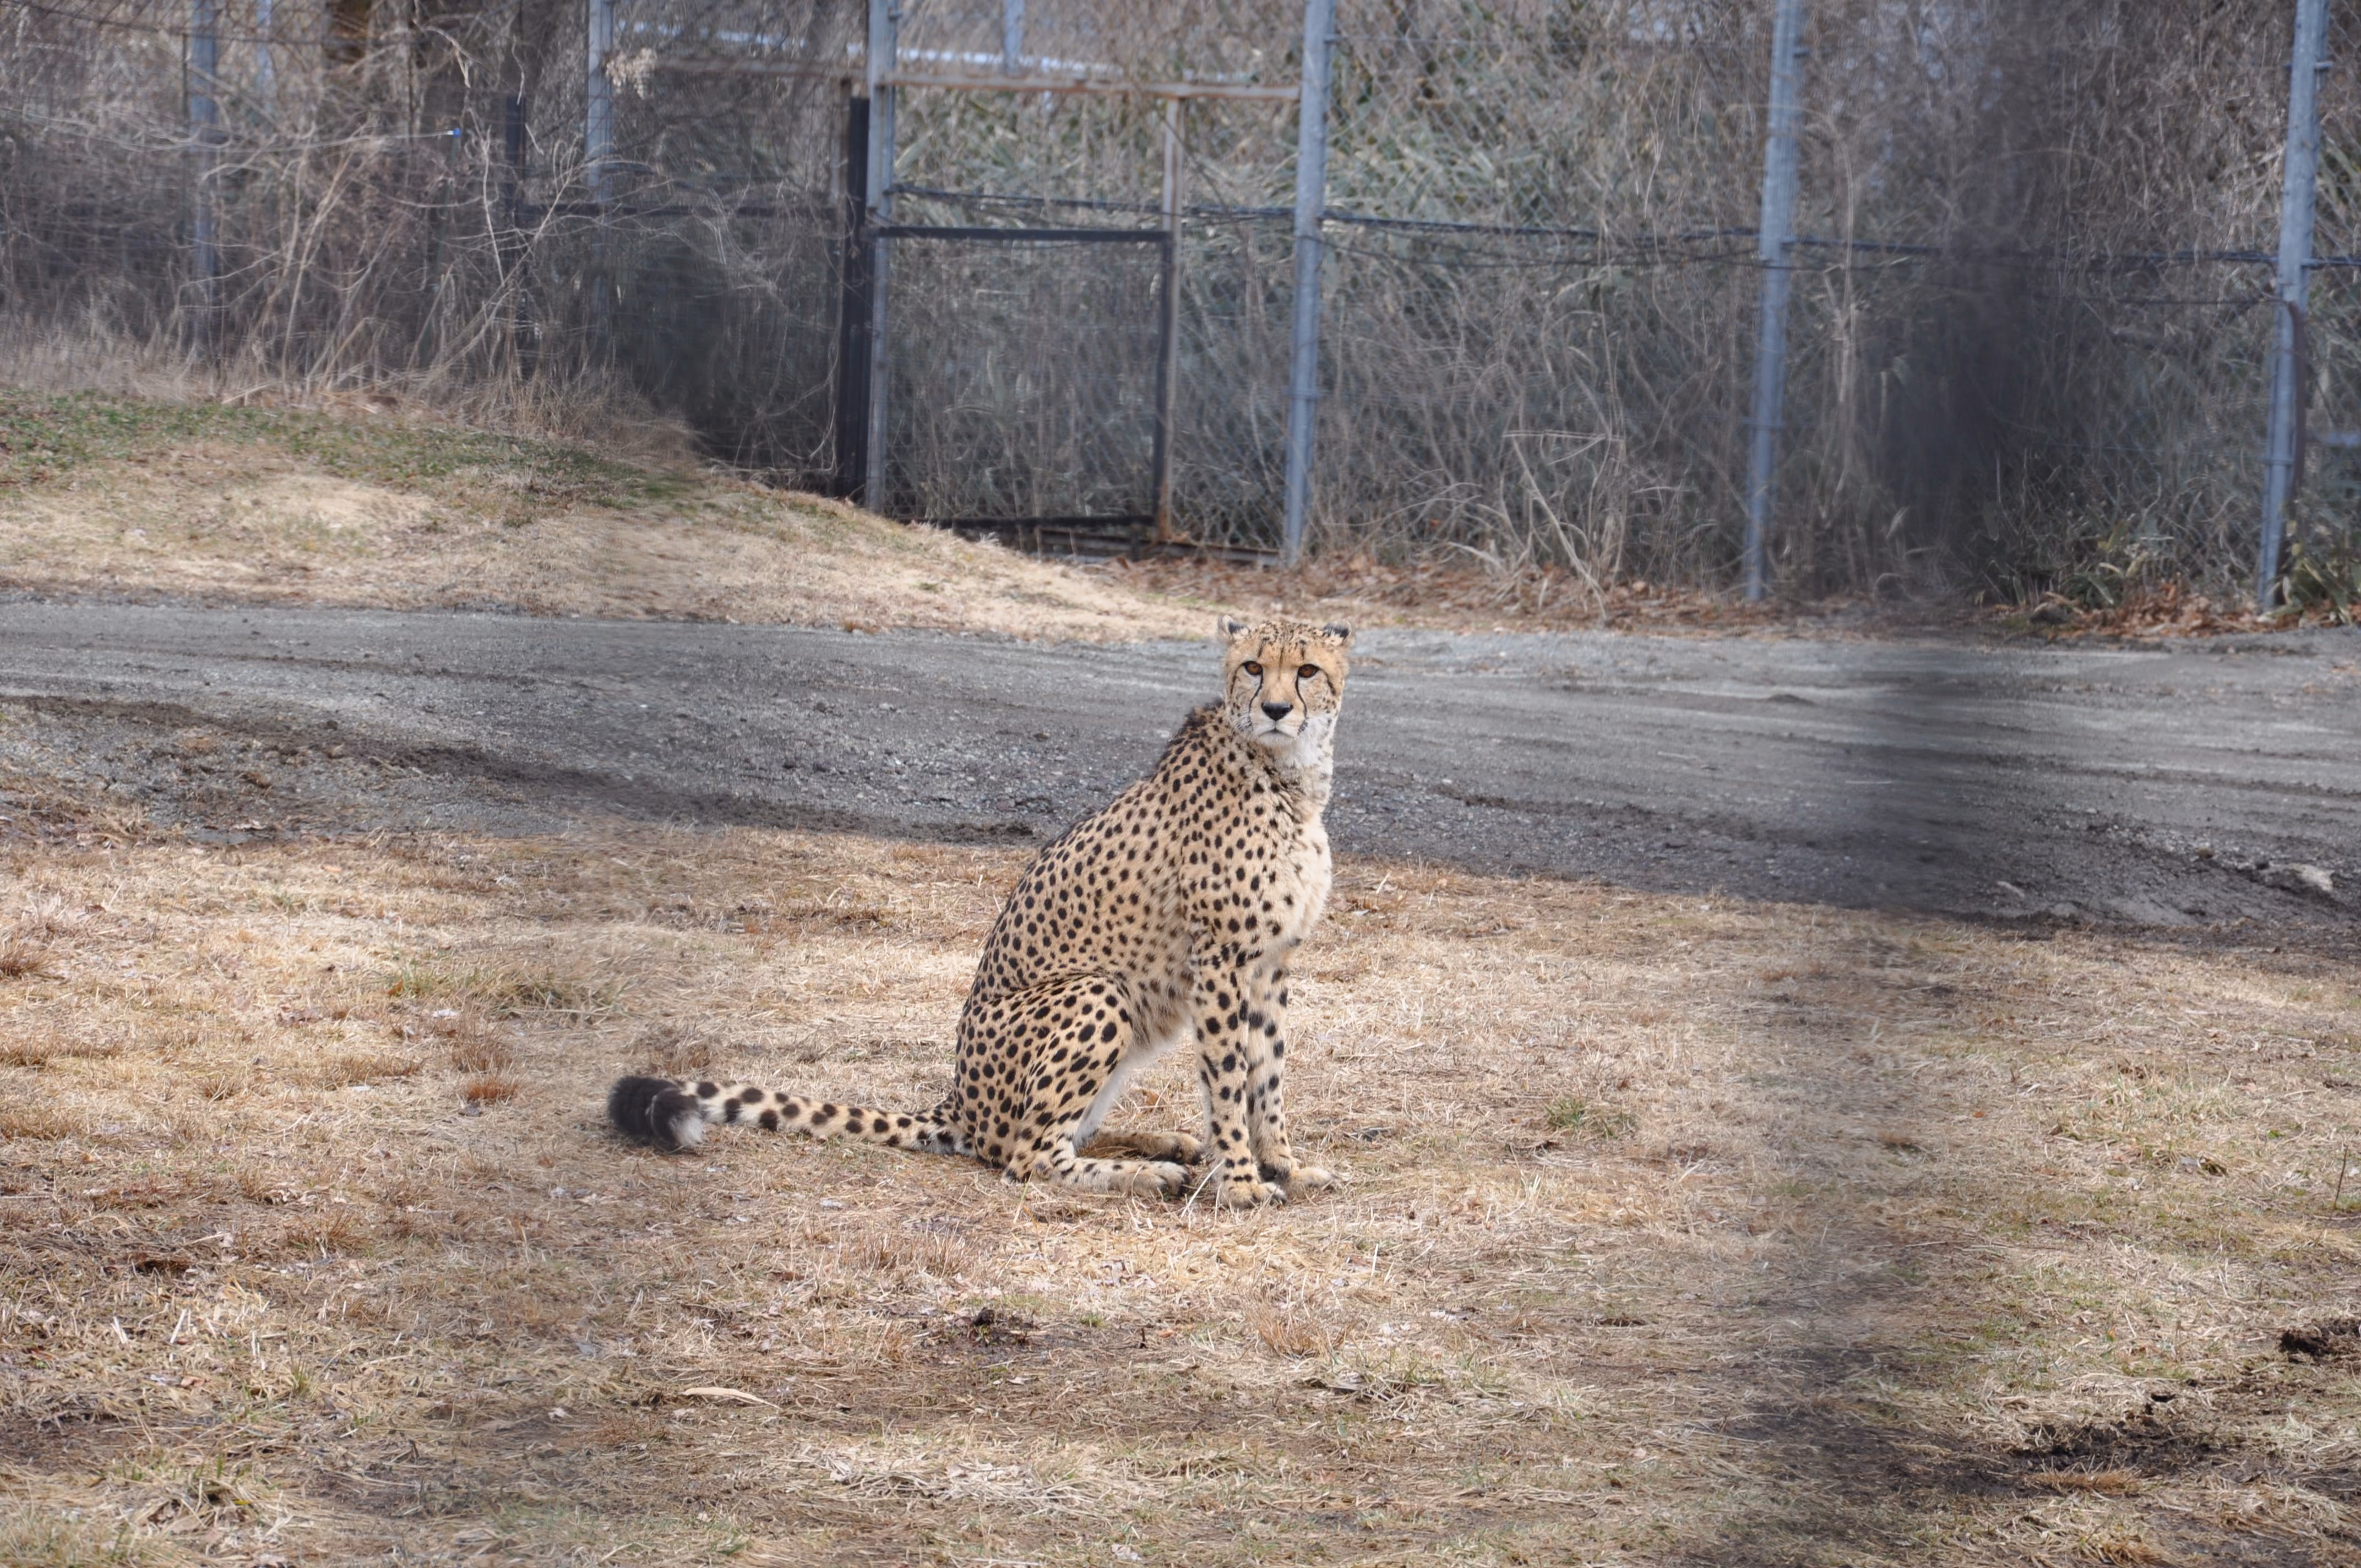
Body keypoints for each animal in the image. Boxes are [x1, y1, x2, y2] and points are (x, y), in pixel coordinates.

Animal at [606, 615, 1352, 1207]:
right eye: (1252, 666)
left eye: (1306, 670)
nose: (1277, 708)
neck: (1288, 774)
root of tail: (958, 1099)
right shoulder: (1221, 958)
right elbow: (1229, 1077)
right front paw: (1243, 1181)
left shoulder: (1272, 963)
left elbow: (1268, 1074)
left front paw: (1283, 1165)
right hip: (1098, 991)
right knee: (1024, 1154)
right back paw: (1148, 1174)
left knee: (1050, 1134)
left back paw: (1164, 1142)